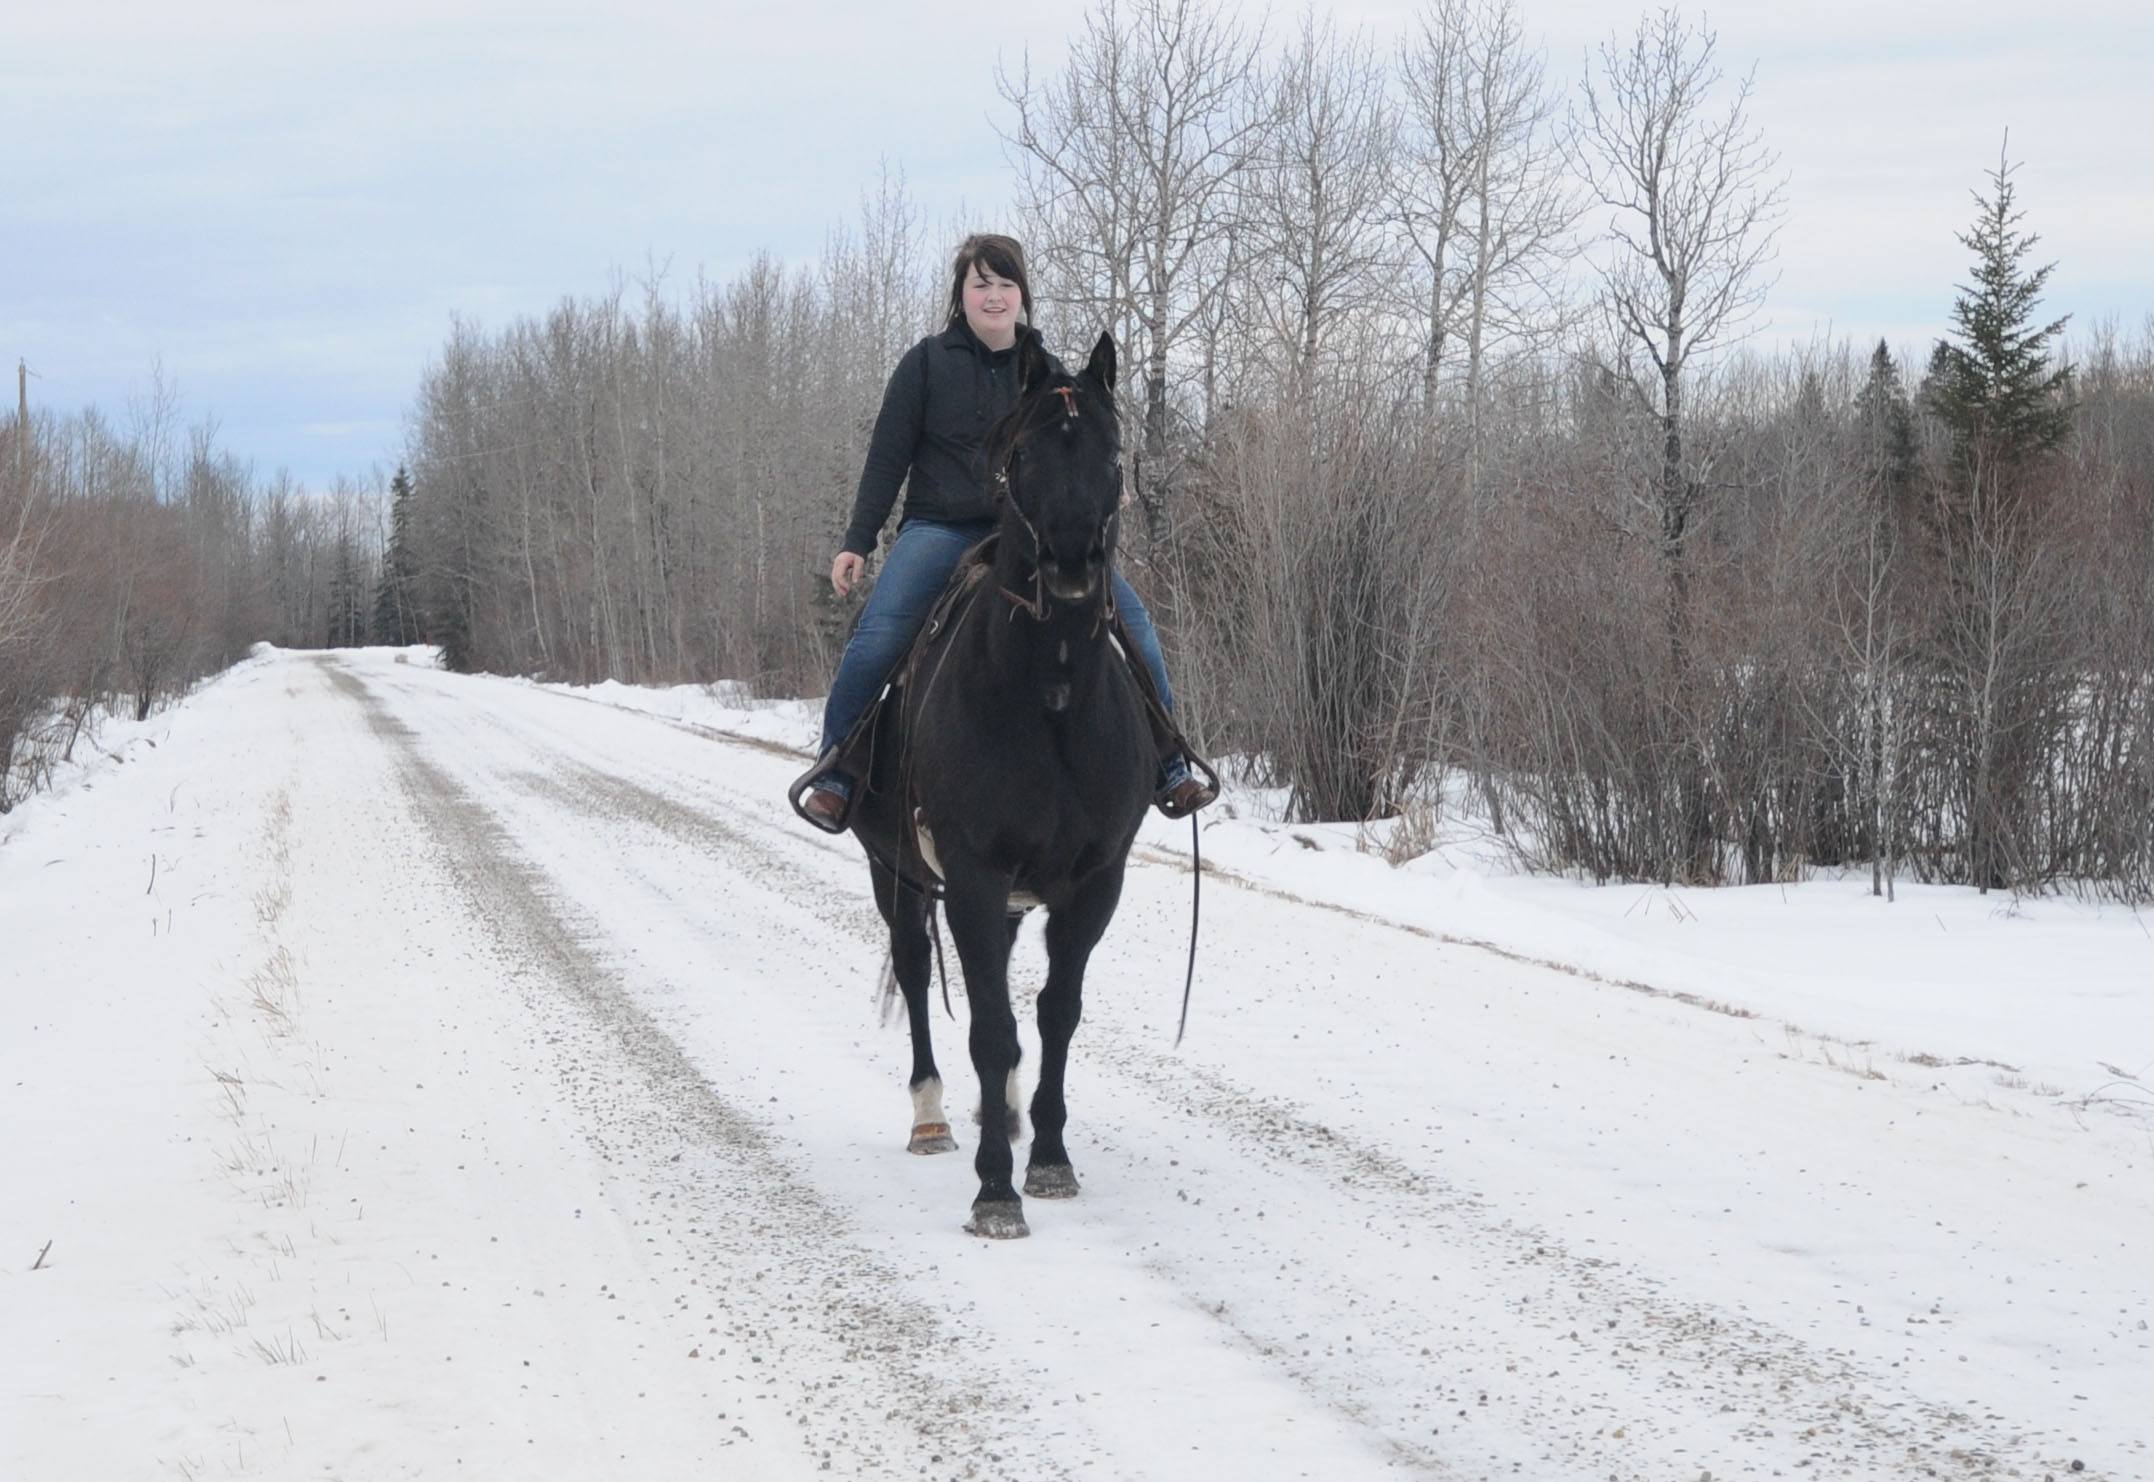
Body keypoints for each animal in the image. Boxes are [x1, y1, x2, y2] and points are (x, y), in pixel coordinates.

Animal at [852, 333, 1163, 1240]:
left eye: (1113, 451)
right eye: (1021, 453)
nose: (1071, 560)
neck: (1048, 693)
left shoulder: (1094, 881)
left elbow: (1056, 1011)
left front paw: (1050, 1157)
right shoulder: (973, 877)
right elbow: (990, 1026)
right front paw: (996, 1188)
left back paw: (1015, 1112)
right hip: (895, 873)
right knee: (916, 972)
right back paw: (932, 1117)